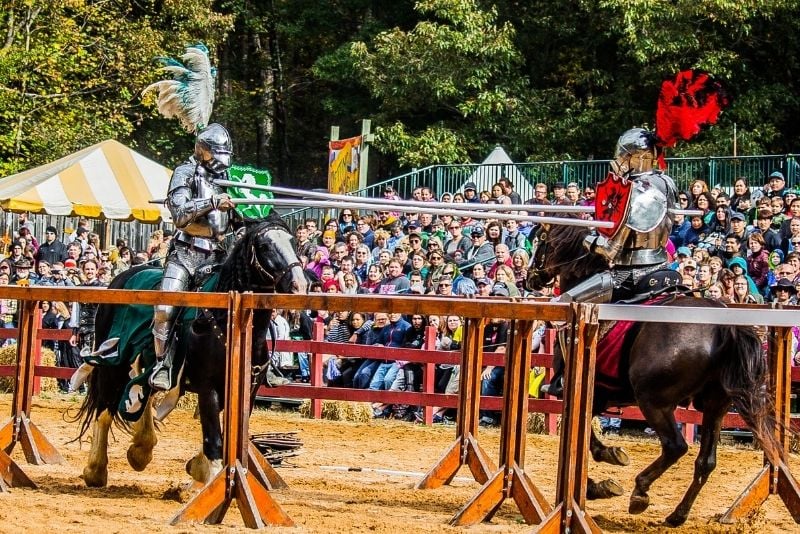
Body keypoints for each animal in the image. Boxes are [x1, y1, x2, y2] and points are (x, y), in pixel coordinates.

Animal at [75, 217, 306, 490]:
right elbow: (214, 438)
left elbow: (228, 435)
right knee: (105, 407)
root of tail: (119, 278)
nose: (299, 284)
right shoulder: (208, 388)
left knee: (144, 390)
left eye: (292, 241)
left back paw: (141, 449)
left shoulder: (247, 391)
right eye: (265, 245)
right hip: (113, 363)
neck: (225, 319)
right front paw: (209, 477)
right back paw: (95, 470)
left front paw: (197, 467)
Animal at [532, 221, 780, 528]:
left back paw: (640, 491)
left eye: (541, 241)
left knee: (675, 446)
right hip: (715, 405)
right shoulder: (600, 396)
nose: (531, 278)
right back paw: (677, 514)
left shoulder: (584, 391)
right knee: (705, 461)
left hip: (654, 402)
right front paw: (602, 475)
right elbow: (586, 434)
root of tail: (725, 327)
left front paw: (597, 479)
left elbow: (584, 437)